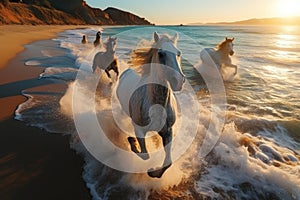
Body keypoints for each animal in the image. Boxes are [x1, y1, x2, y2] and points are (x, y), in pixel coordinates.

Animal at [115, 31, 184, 178]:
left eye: (178, 53)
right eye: (161, 54)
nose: (178, 81)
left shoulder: (168, 131)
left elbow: (168, 162)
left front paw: (154, 172)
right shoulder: (139, 130)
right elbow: (145, 155)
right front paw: (132, 141)